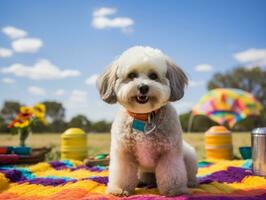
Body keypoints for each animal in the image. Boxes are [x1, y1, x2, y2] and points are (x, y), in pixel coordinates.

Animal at [97, 45, 197, 197]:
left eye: (153, 76)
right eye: (132, 75)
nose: (143, 87)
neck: (144, 116)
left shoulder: (169, 153)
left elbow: (172, 173)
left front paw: (174, 190)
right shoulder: (123, 153)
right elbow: (123, 173)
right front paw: (119, 189)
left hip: (189, 156)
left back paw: (190, 183)